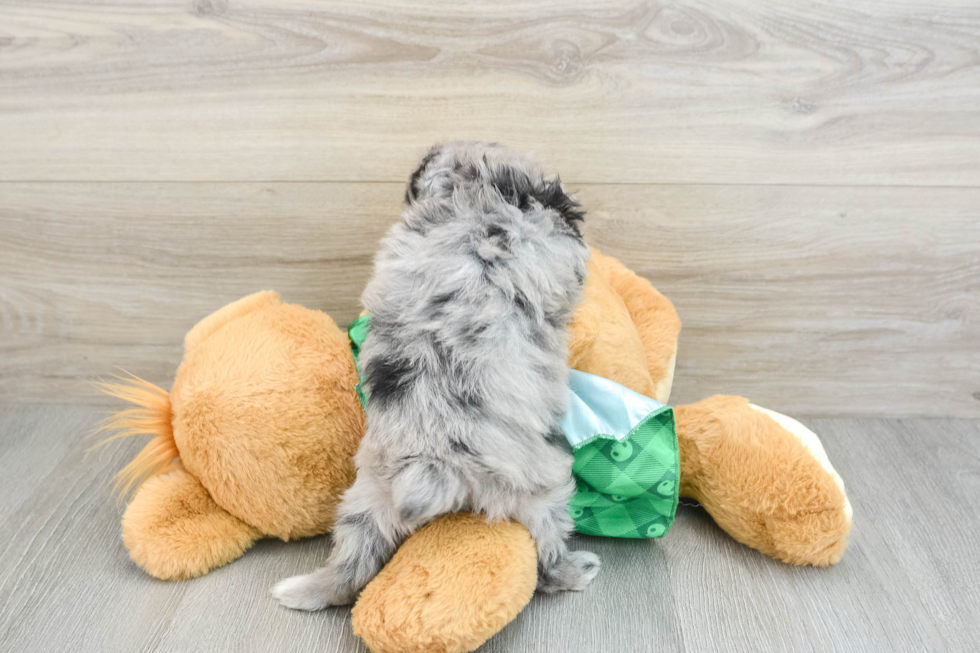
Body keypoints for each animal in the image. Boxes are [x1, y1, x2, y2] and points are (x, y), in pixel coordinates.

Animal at [272, 140, 600, 608]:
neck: (474, 193)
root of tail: (434, 459)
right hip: (542, 492)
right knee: (548, 554)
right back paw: (576, 571)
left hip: (367, 499)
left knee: (351, 568)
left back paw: (302, 590)